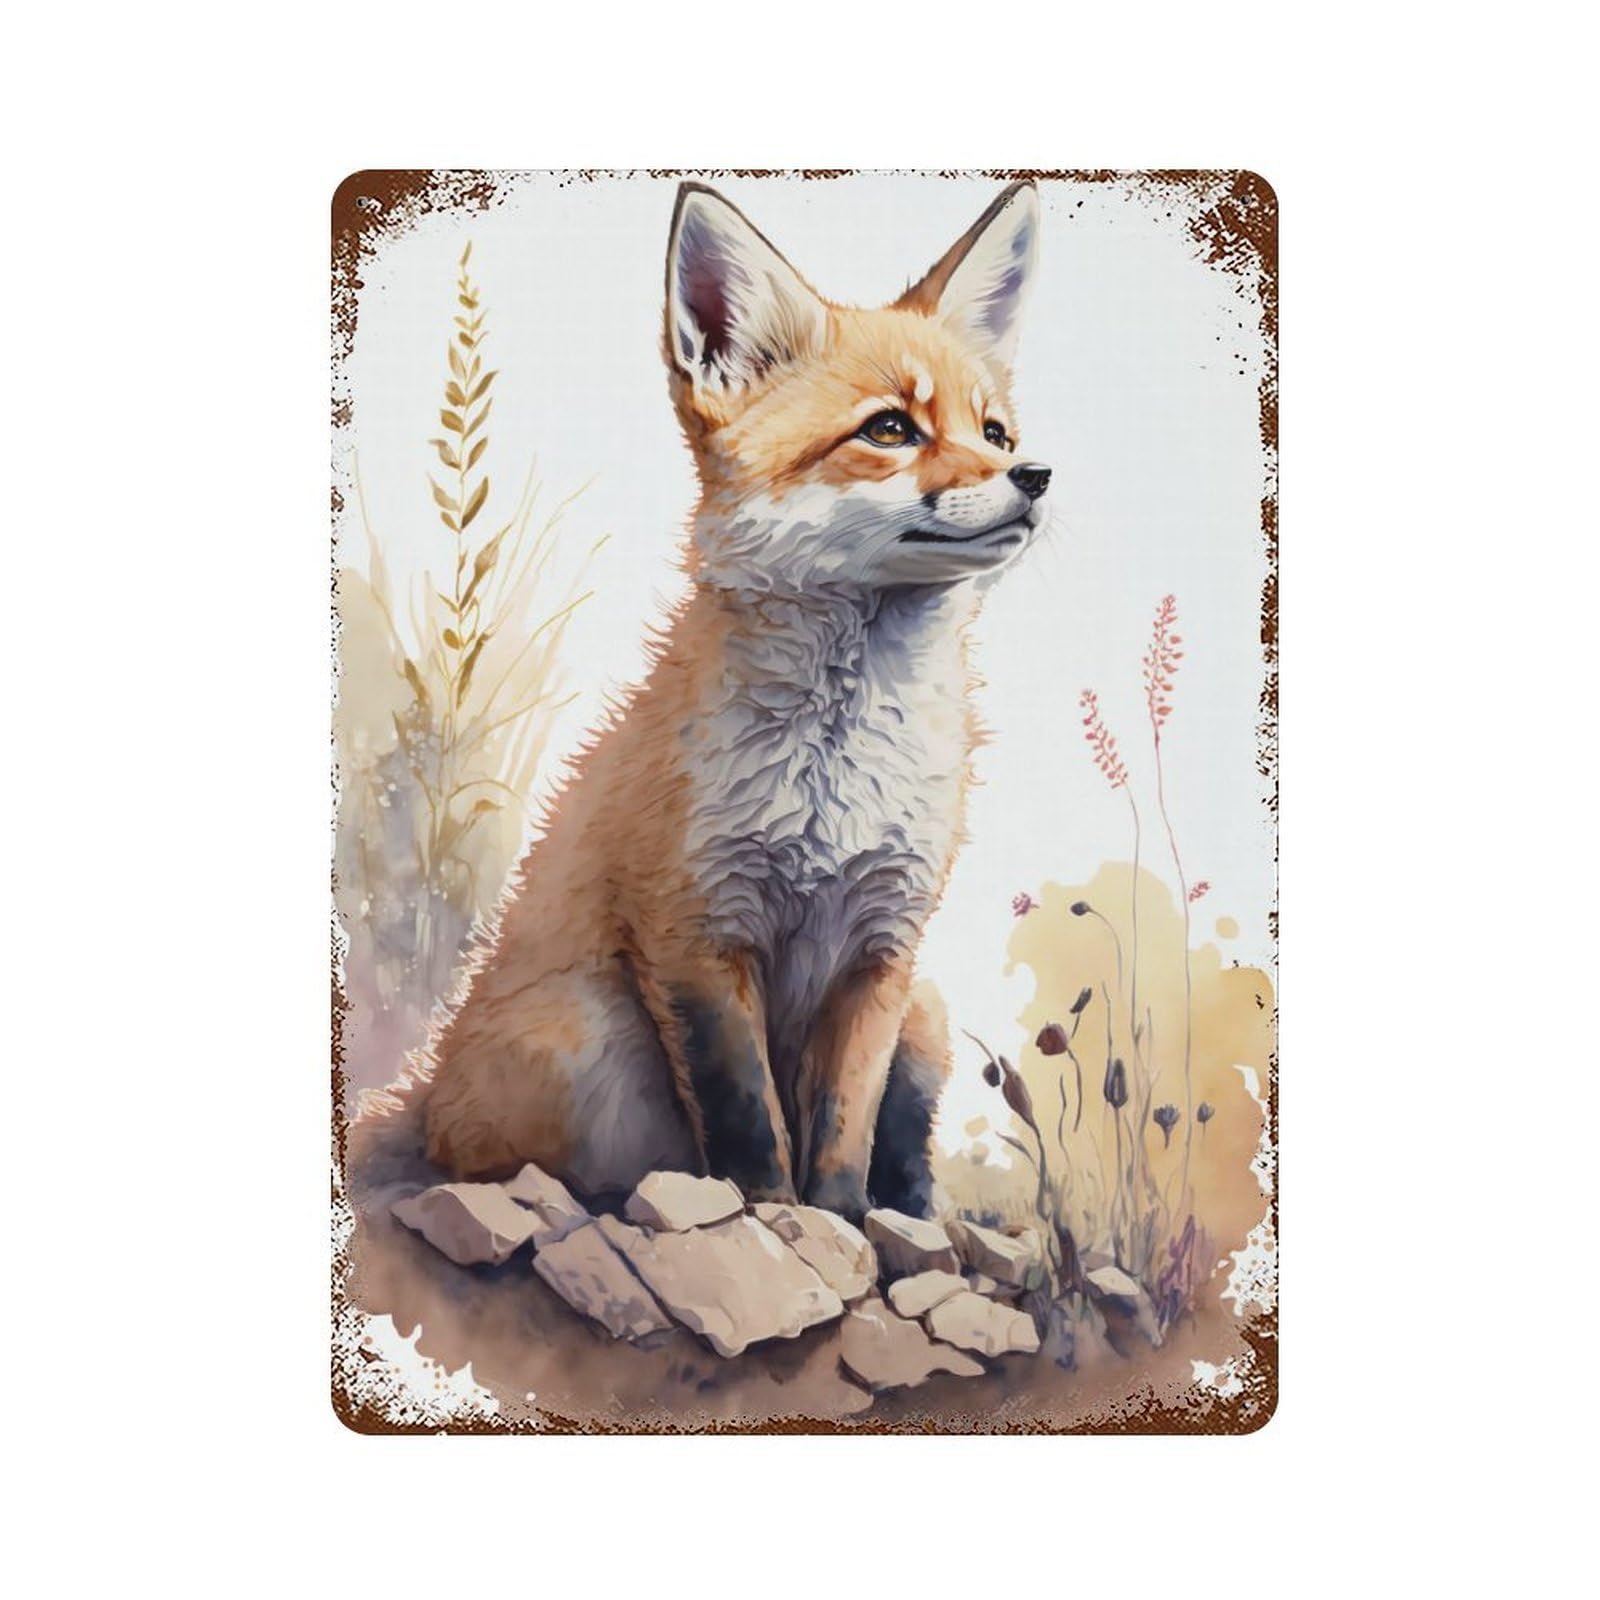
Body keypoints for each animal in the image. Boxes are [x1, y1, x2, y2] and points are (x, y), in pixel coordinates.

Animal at [415, 179, 1052, 1222]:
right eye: (890, 429)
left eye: (994, 433)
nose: (1034, 477)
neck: (838, 772)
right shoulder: (696, 937)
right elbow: (750, 1126)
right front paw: (773, 1218)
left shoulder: (883, 948)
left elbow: (841, 1132)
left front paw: (842, 1225)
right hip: (583, 1038)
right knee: (535, 1168)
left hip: (927, 1013)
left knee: (906, 1152)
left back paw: (919, 1217)